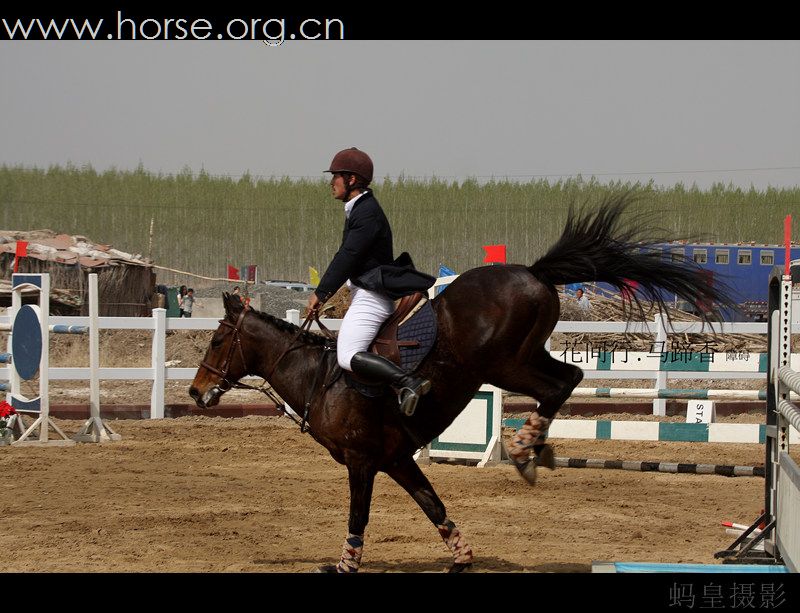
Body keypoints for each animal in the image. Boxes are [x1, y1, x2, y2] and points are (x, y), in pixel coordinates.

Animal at [188, 194, 736, 572]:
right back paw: (532, 448)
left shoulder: (364, 462)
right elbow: (434, 506)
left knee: (559, 385)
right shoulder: (396, 459)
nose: (195, 392)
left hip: (500, 364)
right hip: (524, 355)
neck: (319, 377)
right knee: (569, 377)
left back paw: (523, 448)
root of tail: (532, 271)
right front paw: (462, 556)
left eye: (216, 340)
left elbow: (358, 517)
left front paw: (345, 564)